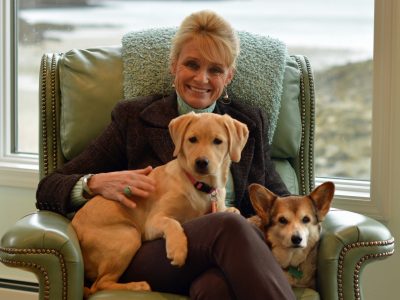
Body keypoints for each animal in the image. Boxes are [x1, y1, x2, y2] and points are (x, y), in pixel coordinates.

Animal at [70, 112, 248, 296]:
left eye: (217, 141)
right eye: (192, 139)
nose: (201, 162)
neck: (200, 186)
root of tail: (75, 229)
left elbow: (231, 210)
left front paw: (231, 210)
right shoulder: (153, 222)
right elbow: (173, 222)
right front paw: (178, 248)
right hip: (128, 235)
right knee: (99, 285)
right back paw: (138, 286)